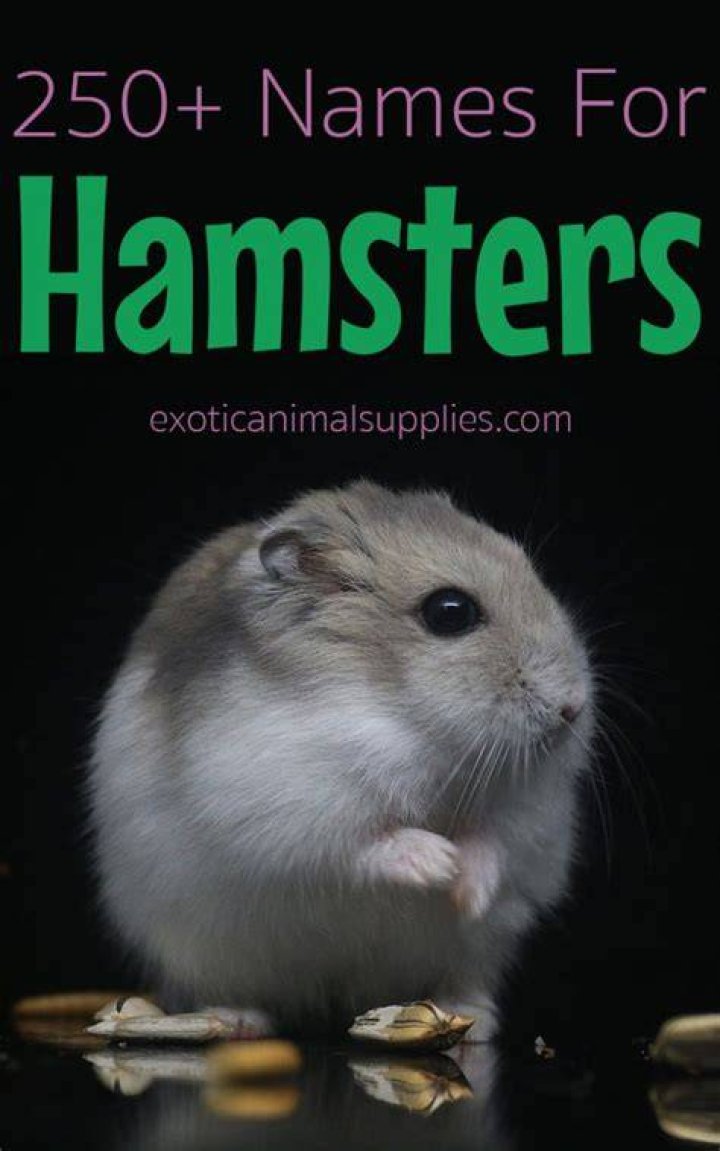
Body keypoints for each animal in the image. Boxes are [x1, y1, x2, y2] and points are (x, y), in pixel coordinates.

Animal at [89, 480, 593, 1039]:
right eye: (450, 611)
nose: (574, 707)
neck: (407, 719)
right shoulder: (292, 810)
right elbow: (364, 845)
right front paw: (439, 862)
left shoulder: (531, 814)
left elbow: (495, 840)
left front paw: (468, 890)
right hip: (197, 946)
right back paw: (236, 1020)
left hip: (478, 950)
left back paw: (473, 1020)